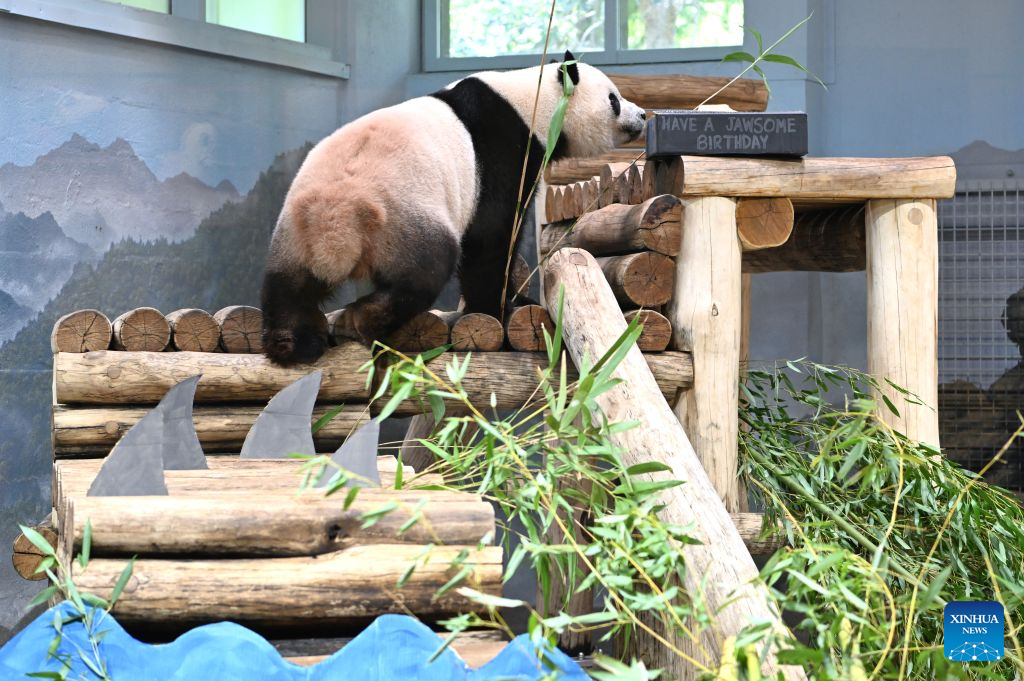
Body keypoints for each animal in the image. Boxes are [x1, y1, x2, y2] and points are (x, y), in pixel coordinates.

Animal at [261, 51, 646, 365]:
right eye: (613, 99)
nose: (642, 115)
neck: (535, 102)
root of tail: (336, 222)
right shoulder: (502, 152)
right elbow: (491, 234)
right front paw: (495, 310)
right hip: (403, 217)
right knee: (426, 268)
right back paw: (362, 319)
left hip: (294, 230)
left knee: (288, 286)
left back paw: (294, 343)